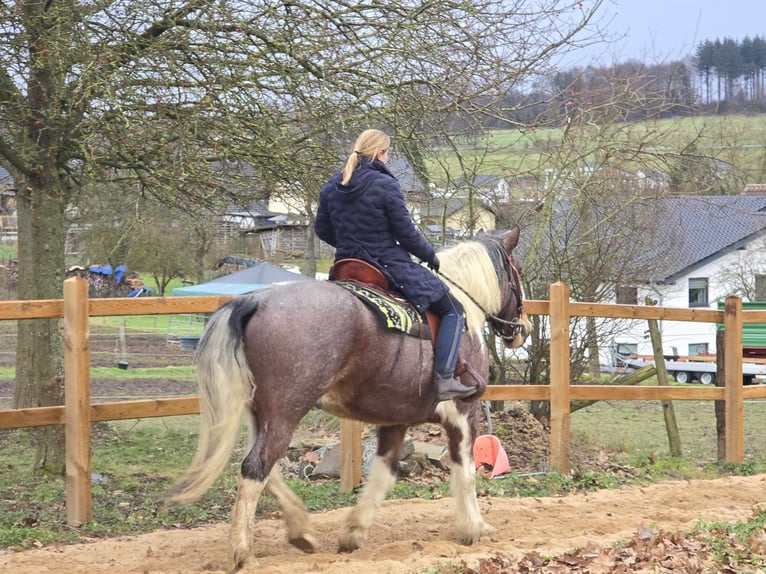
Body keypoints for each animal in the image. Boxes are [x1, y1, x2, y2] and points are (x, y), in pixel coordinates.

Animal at [172, 227, 536, 572]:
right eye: (517, 271)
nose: (523, 328)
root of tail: (255, 301)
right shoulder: (463, 414)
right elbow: (466, 470)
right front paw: (474, 527)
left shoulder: (396, 420)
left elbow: (382, 474)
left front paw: (354, 532)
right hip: (285, 413)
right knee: (256, 466)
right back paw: (243, 553)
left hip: (260, 414)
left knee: (263, 469)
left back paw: (301, 530)